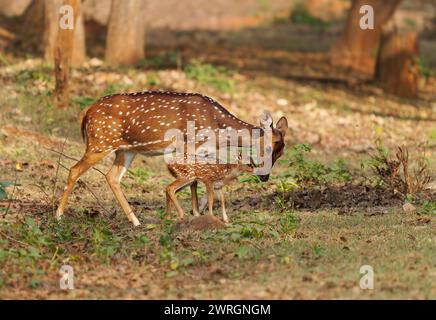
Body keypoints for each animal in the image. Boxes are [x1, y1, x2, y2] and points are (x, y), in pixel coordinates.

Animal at [57, 90, 290, 225]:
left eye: (281, 153)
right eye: (268, 147)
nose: (265, 177)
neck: (218, 129)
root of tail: (86, 113)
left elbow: (202, 182)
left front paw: (197, 212)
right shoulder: (189, 145)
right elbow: (195, 181)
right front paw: (196, 213)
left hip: (125, 150)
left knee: (112, 177)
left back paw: (136, 221)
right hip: (100, 142)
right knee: (74, 170)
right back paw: (58, 216)